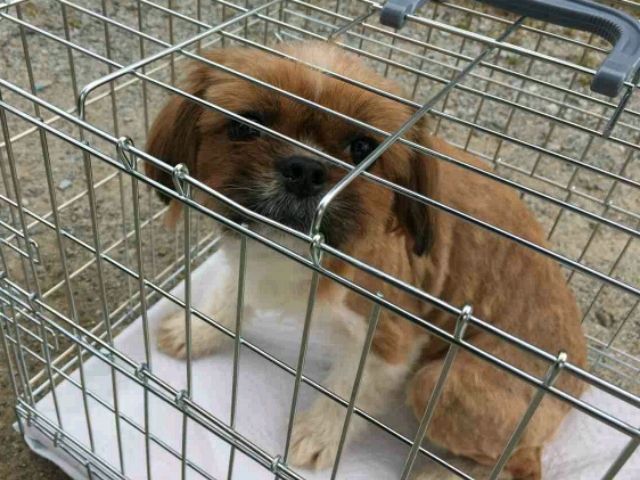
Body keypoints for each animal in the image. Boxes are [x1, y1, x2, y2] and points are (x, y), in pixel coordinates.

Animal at [144, 42, 587, 479]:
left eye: (362, 148)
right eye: (246, 125)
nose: (304, 168)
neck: (305, 250)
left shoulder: (390, 337)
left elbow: (347, 392)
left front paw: (320, 433)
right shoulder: (250, 264)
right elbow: (228, 295)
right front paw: (196, 329)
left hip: (440, 387)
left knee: (517, 460)